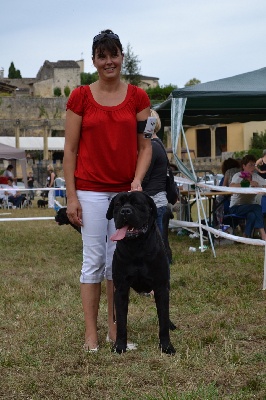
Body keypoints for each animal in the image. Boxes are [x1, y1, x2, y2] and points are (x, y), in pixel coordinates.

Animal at [106, 192, 177, 354]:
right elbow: (121, 321)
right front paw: (120, 346)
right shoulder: (121, 289)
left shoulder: (161, 288)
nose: (125, 211)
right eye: (118, 204)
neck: (136, 248)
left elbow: (163, 320)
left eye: (137, 204)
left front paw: (166, 346)